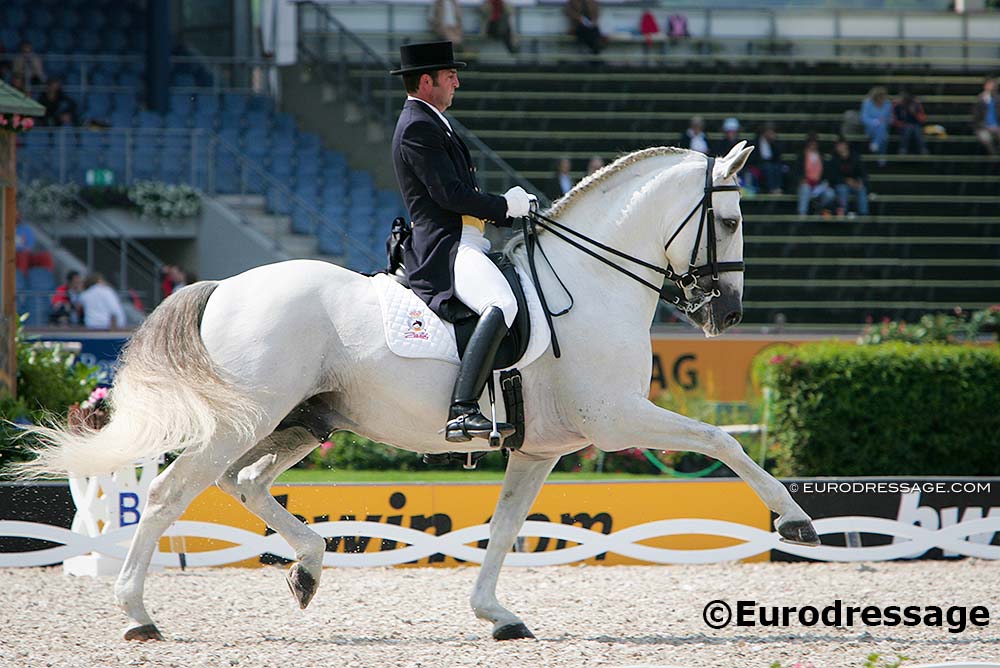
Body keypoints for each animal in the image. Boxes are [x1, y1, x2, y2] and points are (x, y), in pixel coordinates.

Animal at [15, 145, 816, 640]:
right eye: (730, 219)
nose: (727, 315)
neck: (590, 284)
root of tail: (223, 288)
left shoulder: (540, 449)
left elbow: (505, 526)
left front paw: (495, 614)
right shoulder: (619, 419)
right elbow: (720, 440)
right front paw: (795, 521)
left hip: (301, 422)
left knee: (245, 483)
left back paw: (308, 566)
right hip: (243, 421)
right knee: (170, 492)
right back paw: (137, 614)